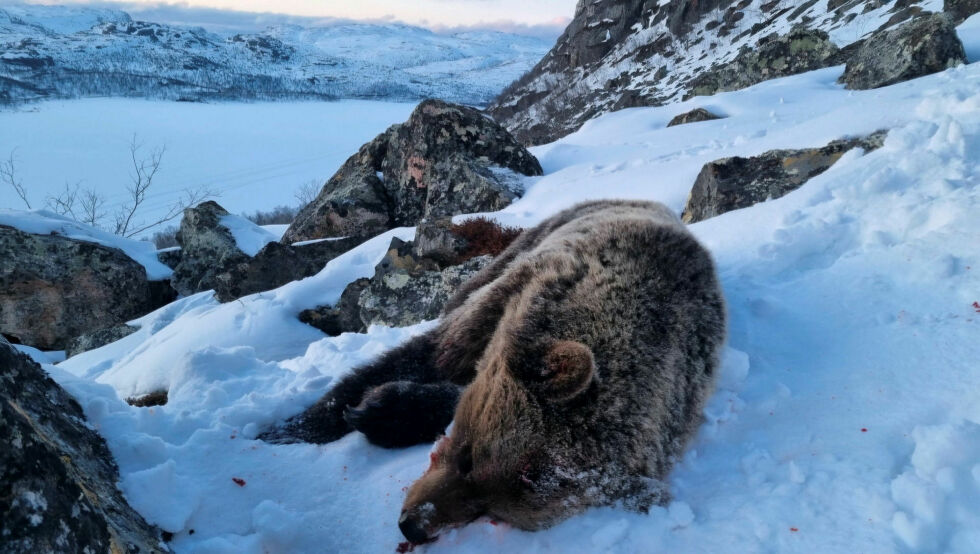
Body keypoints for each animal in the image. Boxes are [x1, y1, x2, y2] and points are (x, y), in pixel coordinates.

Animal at [256, 199, 724, 544]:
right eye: (468, 457)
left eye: (490, 510)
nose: (412, 525)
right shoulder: (523, 287)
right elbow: (429, 354)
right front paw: (294, 427)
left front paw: (386, 411)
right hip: (523, 246)